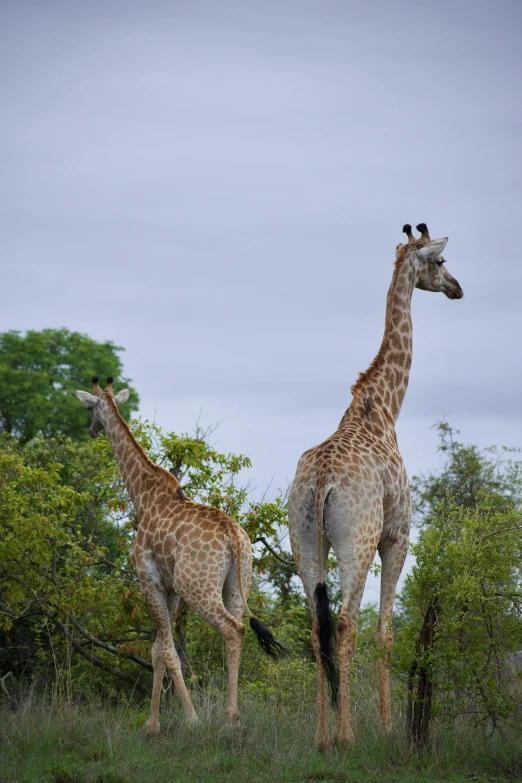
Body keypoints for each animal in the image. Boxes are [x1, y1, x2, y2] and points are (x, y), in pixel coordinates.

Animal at [73, 376, 280, 732]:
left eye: (89, 408)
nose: (91, 430)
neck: (142, 495)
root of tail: (233, 536)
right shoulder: (170, 589)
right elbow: (157, 650)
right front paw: (152, 725)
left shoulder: (150, 580)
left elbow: (169, 651)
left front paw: (190, 719)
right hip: (237, 583)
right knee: (239, 628)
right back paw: (234, 717)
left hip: (197, 585)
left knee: (232, 629)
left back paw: (229, 718)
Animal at [288, 222, 464, 748]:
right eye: (440, 261)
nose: (457, 288)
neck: (383, 406)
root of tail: (321, 480)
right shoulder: (397, 536)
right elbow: (386, 633)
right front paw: (388, 728)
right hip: (357, 540)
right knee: (346, 623)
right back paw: (346, 736)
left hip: (304, 540)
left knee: (316, 626)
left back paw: (321, 736)